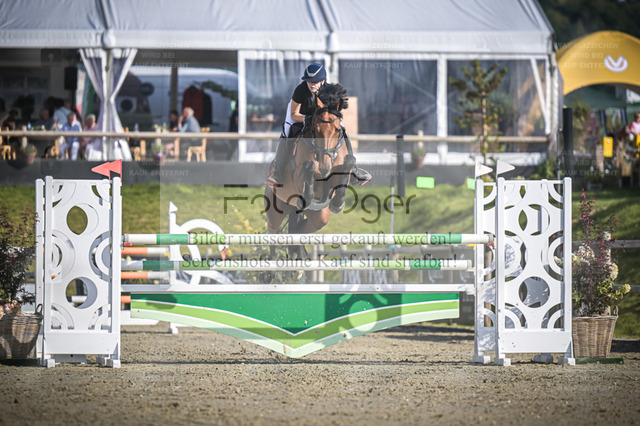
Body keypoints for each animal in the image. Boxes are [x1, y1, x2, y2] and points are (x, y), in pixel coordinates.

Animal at [264, 83, 357, 261]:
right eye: (317, 129)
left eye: (337, 130)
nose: (325, 166)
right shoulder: (299, 176)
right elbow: (309, 167)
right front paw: (308, 194)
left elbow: (348, 163)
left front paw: (338, 203)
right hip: (276, 209)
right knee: (273, 232)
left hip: (318, 215)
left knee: (300, 230)